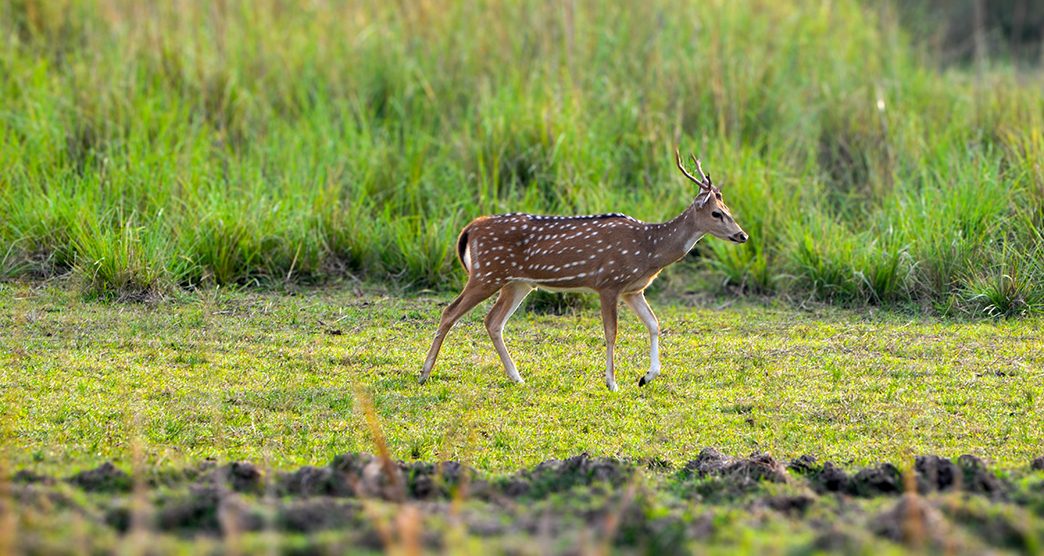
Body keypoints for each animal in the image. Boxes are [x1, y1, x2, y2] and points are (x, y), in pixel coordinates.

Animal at [419, 148, 747, 390]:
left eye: (728, 210)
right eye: (717, 213)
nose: (742, 235)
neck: (649, 250)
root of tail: (470, 229)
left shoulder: (633, 290)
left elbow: (654, 324)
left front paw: (646, 377)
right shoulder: (608, 283)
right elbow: (612, 332)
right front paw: (612, 383)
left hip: (517, 283)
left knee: (493, 321)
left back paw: (517, 377)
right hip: (487, 273)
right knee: (450, 311)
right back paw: (424, 373)